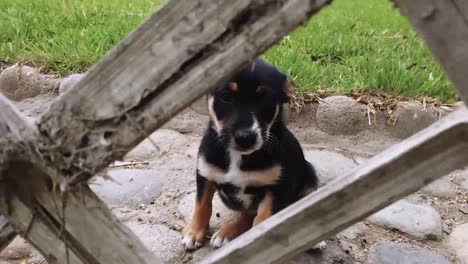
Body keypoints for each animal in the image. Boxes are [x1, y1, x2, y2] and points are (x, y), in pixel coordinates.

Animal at [183, 59, 322, 250]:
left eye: (265, 99)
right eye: (226, 97)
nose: (245, 137)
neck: (238, 156)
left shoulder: (275, 189)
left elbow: (262, 220)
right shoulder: (205, 172)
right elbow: (202, 204)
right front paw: (194, 232)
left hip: (309, 175)